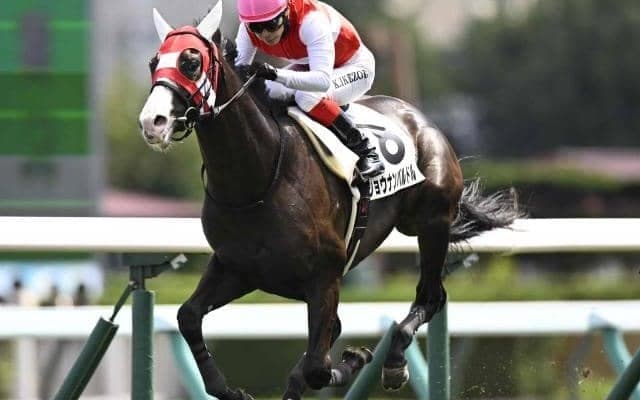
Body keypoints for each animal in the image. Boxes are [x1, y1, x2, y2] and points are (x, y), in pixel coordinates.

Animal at [138, 3, 521, 400]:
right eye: (154, 62)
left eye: (191, 62)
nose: (153, 122)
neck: (258, 180)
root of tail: (419, 118)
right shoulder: (237, 267)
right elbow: (188, 317)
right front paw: (230, 390)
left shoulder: (324, 277)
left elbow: (319, 367)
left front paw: (357, 356)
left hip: (431, 222)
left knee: (430, 297)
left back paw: (394, 360)